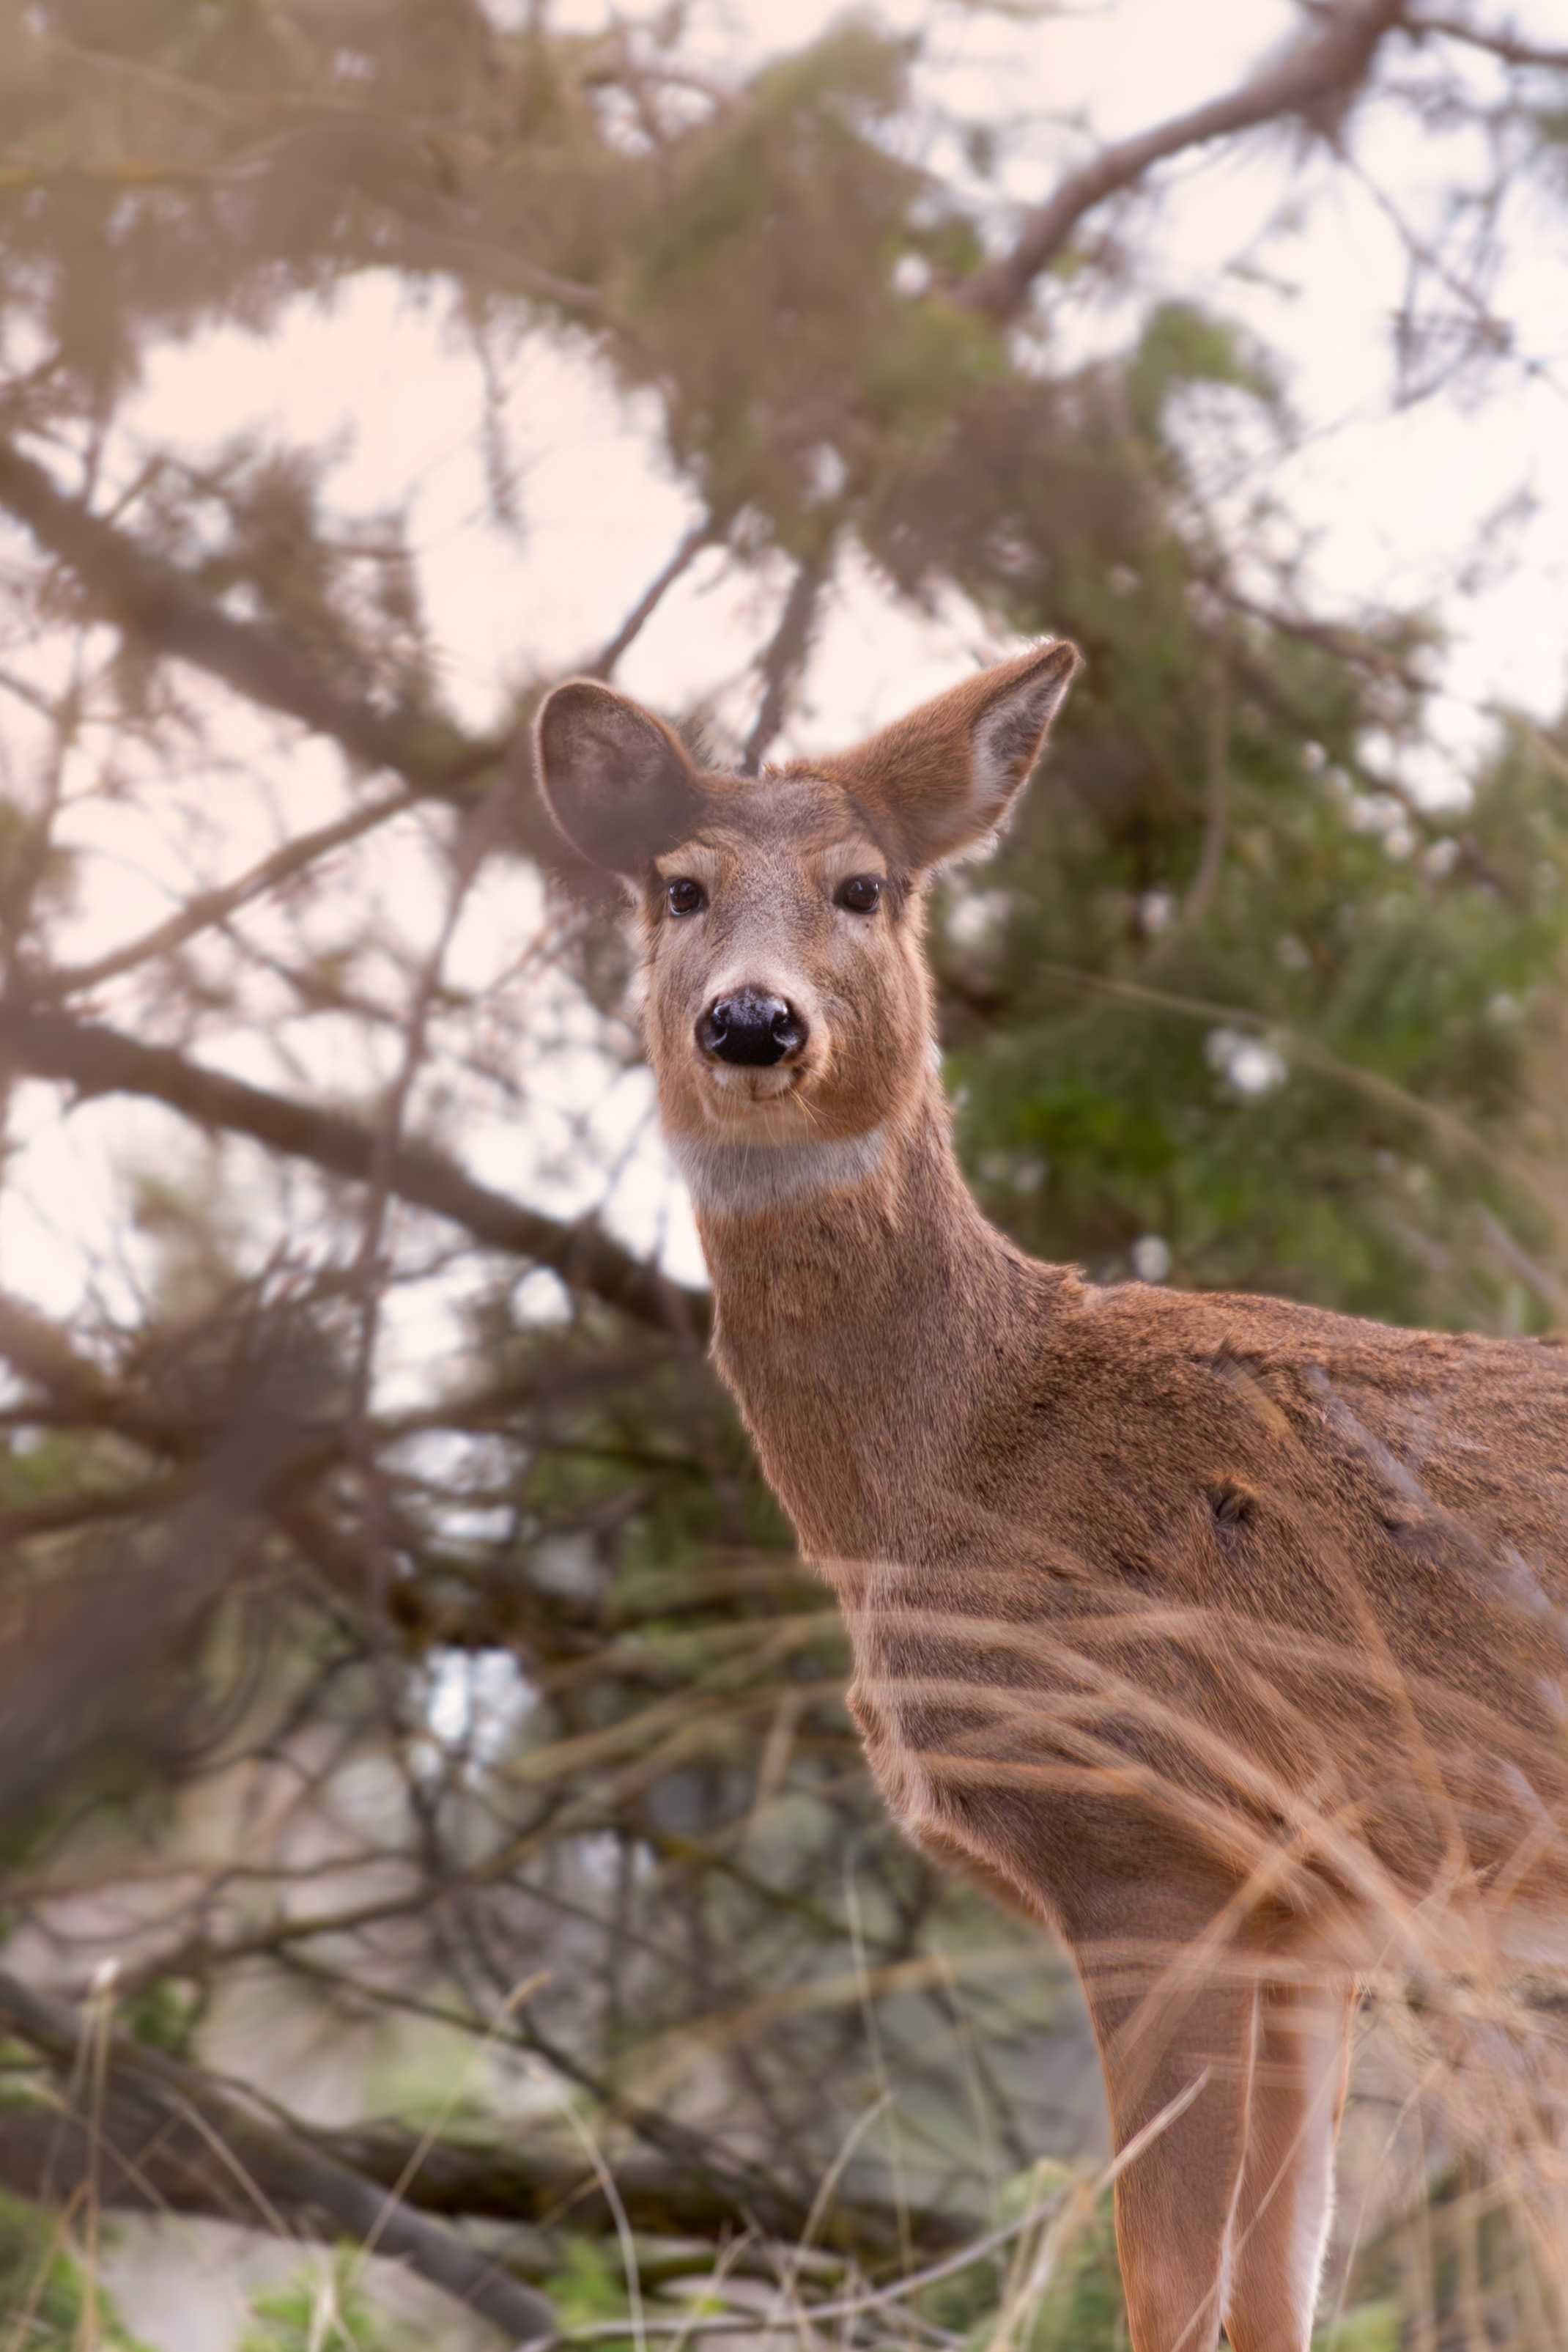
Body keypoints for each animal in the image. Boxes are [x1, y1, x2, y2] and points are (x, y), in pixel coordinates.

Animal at [535, 641, 1568, 2352]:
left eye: (865, 884)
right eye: (678, 886)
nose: (752, 1021)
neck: (954, 1460)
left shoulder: (1149, 1835)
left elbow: (1174, 2299)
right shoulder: (1309, 1916)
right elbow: (1267, 2298)